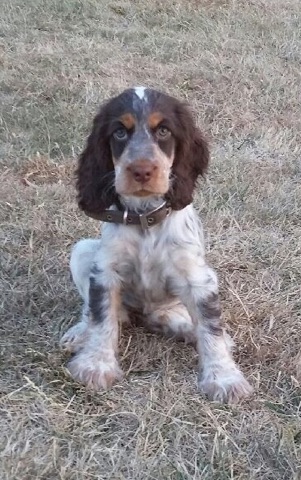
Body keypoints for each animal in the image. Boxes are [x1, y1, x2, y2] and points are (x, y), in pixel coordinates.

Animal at [59, 87, 252, 404]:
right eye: (119, 132)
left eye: (163, 131)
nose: (141, 170)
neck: (143, 217)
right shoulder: (105, 271)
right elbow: (102, 318)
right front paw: (96, 365)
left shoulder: (199, 279)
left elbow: (211, 327)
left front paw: (224, 378)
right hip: (84, 250)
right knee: (95, 310)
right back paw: (81, 332)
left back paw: (185, 328)